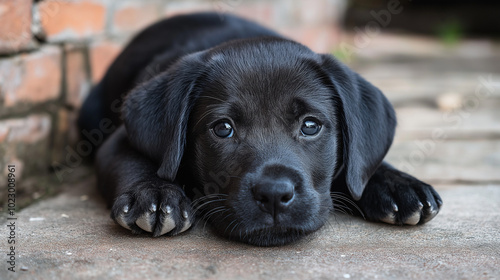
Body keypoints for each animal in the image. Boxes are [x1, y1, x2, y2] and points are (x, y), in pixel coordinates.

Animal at [78, 12, 442, 246]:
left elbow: (361, 162)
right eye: (223, 129)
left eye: (311, 125)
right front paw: (154, 194)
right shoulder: (116, 141)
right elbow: (134, 161)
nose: (274, 195)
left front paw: (396, 182)